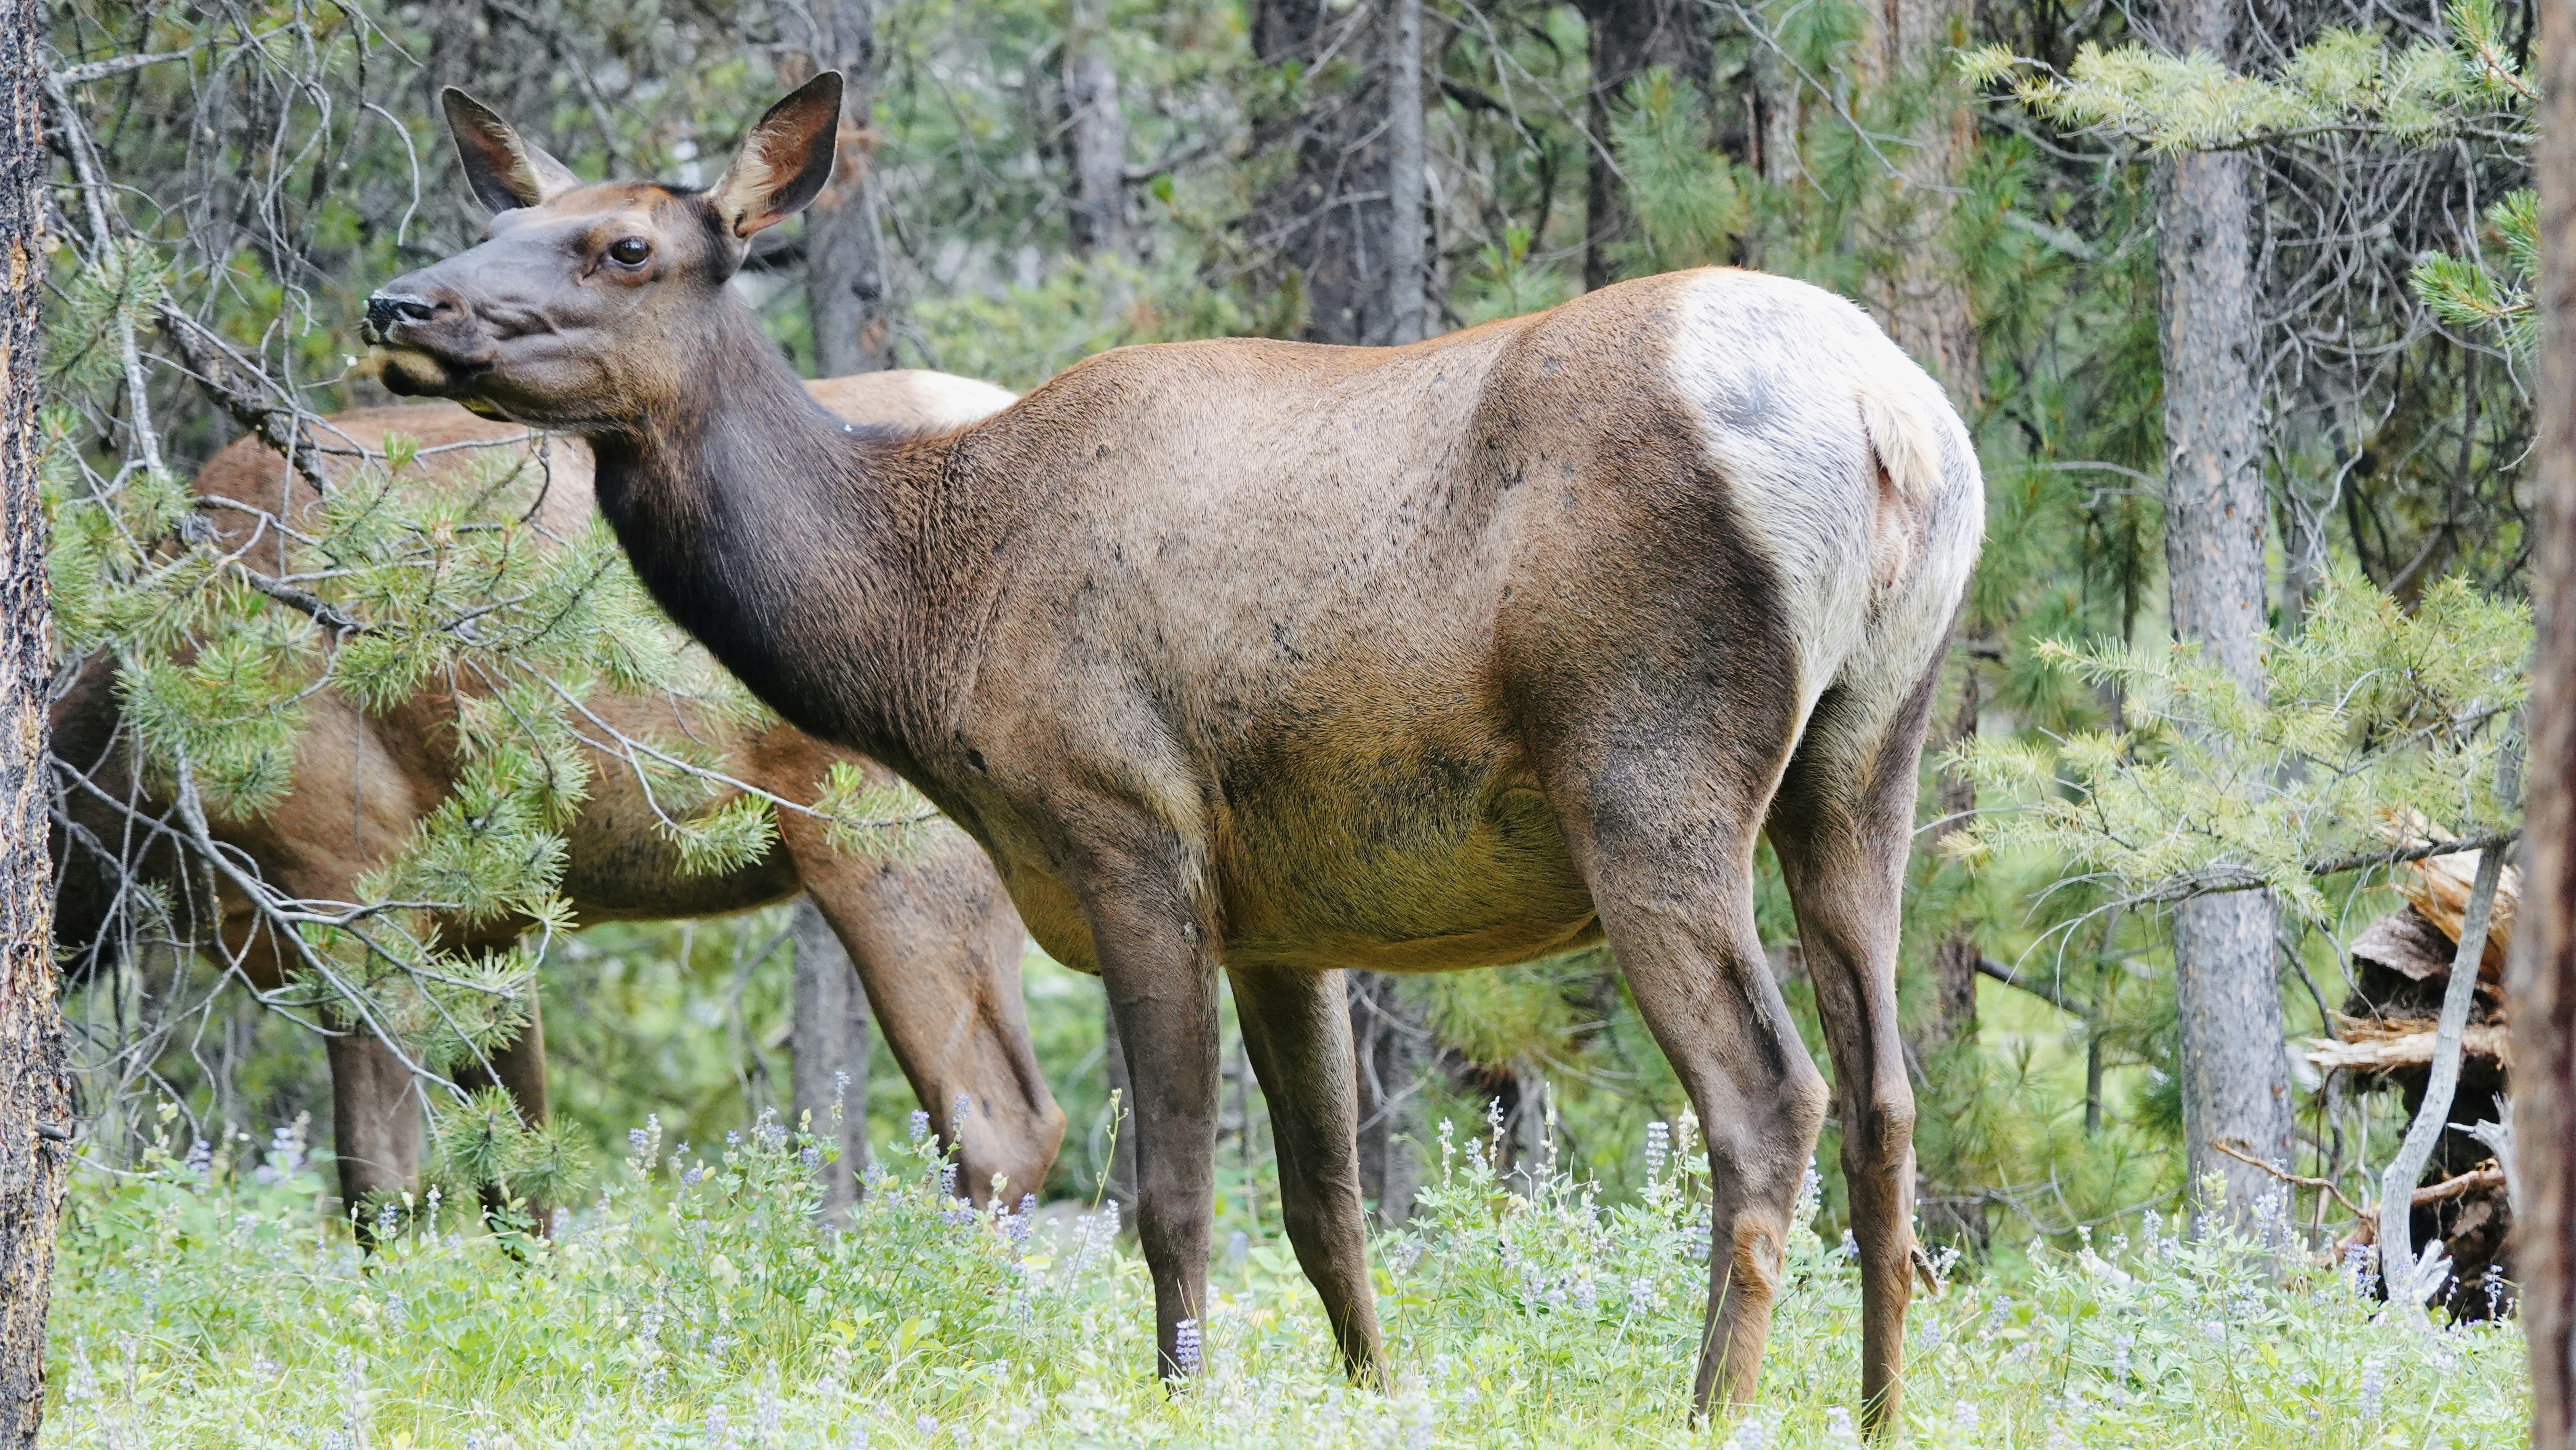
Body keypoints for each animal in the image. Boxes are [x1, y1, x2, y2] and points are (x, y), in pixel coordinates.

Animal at [50, 368, 1067, 1225]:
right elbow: (518, 1178)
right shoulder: (484, 928)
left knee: (1002, 1130)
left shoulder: (348, 889)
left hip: (901, 852)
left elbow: (378, 1184)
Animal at [363, 74, 1982, 1430]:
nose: (401, 300)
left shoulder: (1130, 830)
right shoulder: (1290, 913)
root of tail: (1891, 424)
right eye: (501, 221)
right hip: (1867, 758)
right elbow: (1326, 1205)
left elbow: (1174, 1194)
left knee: (1768, 1096)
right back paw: (1879, 1410)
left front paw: (1183, 1393)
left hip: (1650, 765)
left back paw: (1710, 1408)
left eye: (624, 245)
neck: (932, 617)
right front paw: (1372, 1392)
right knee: (1890, 1095)